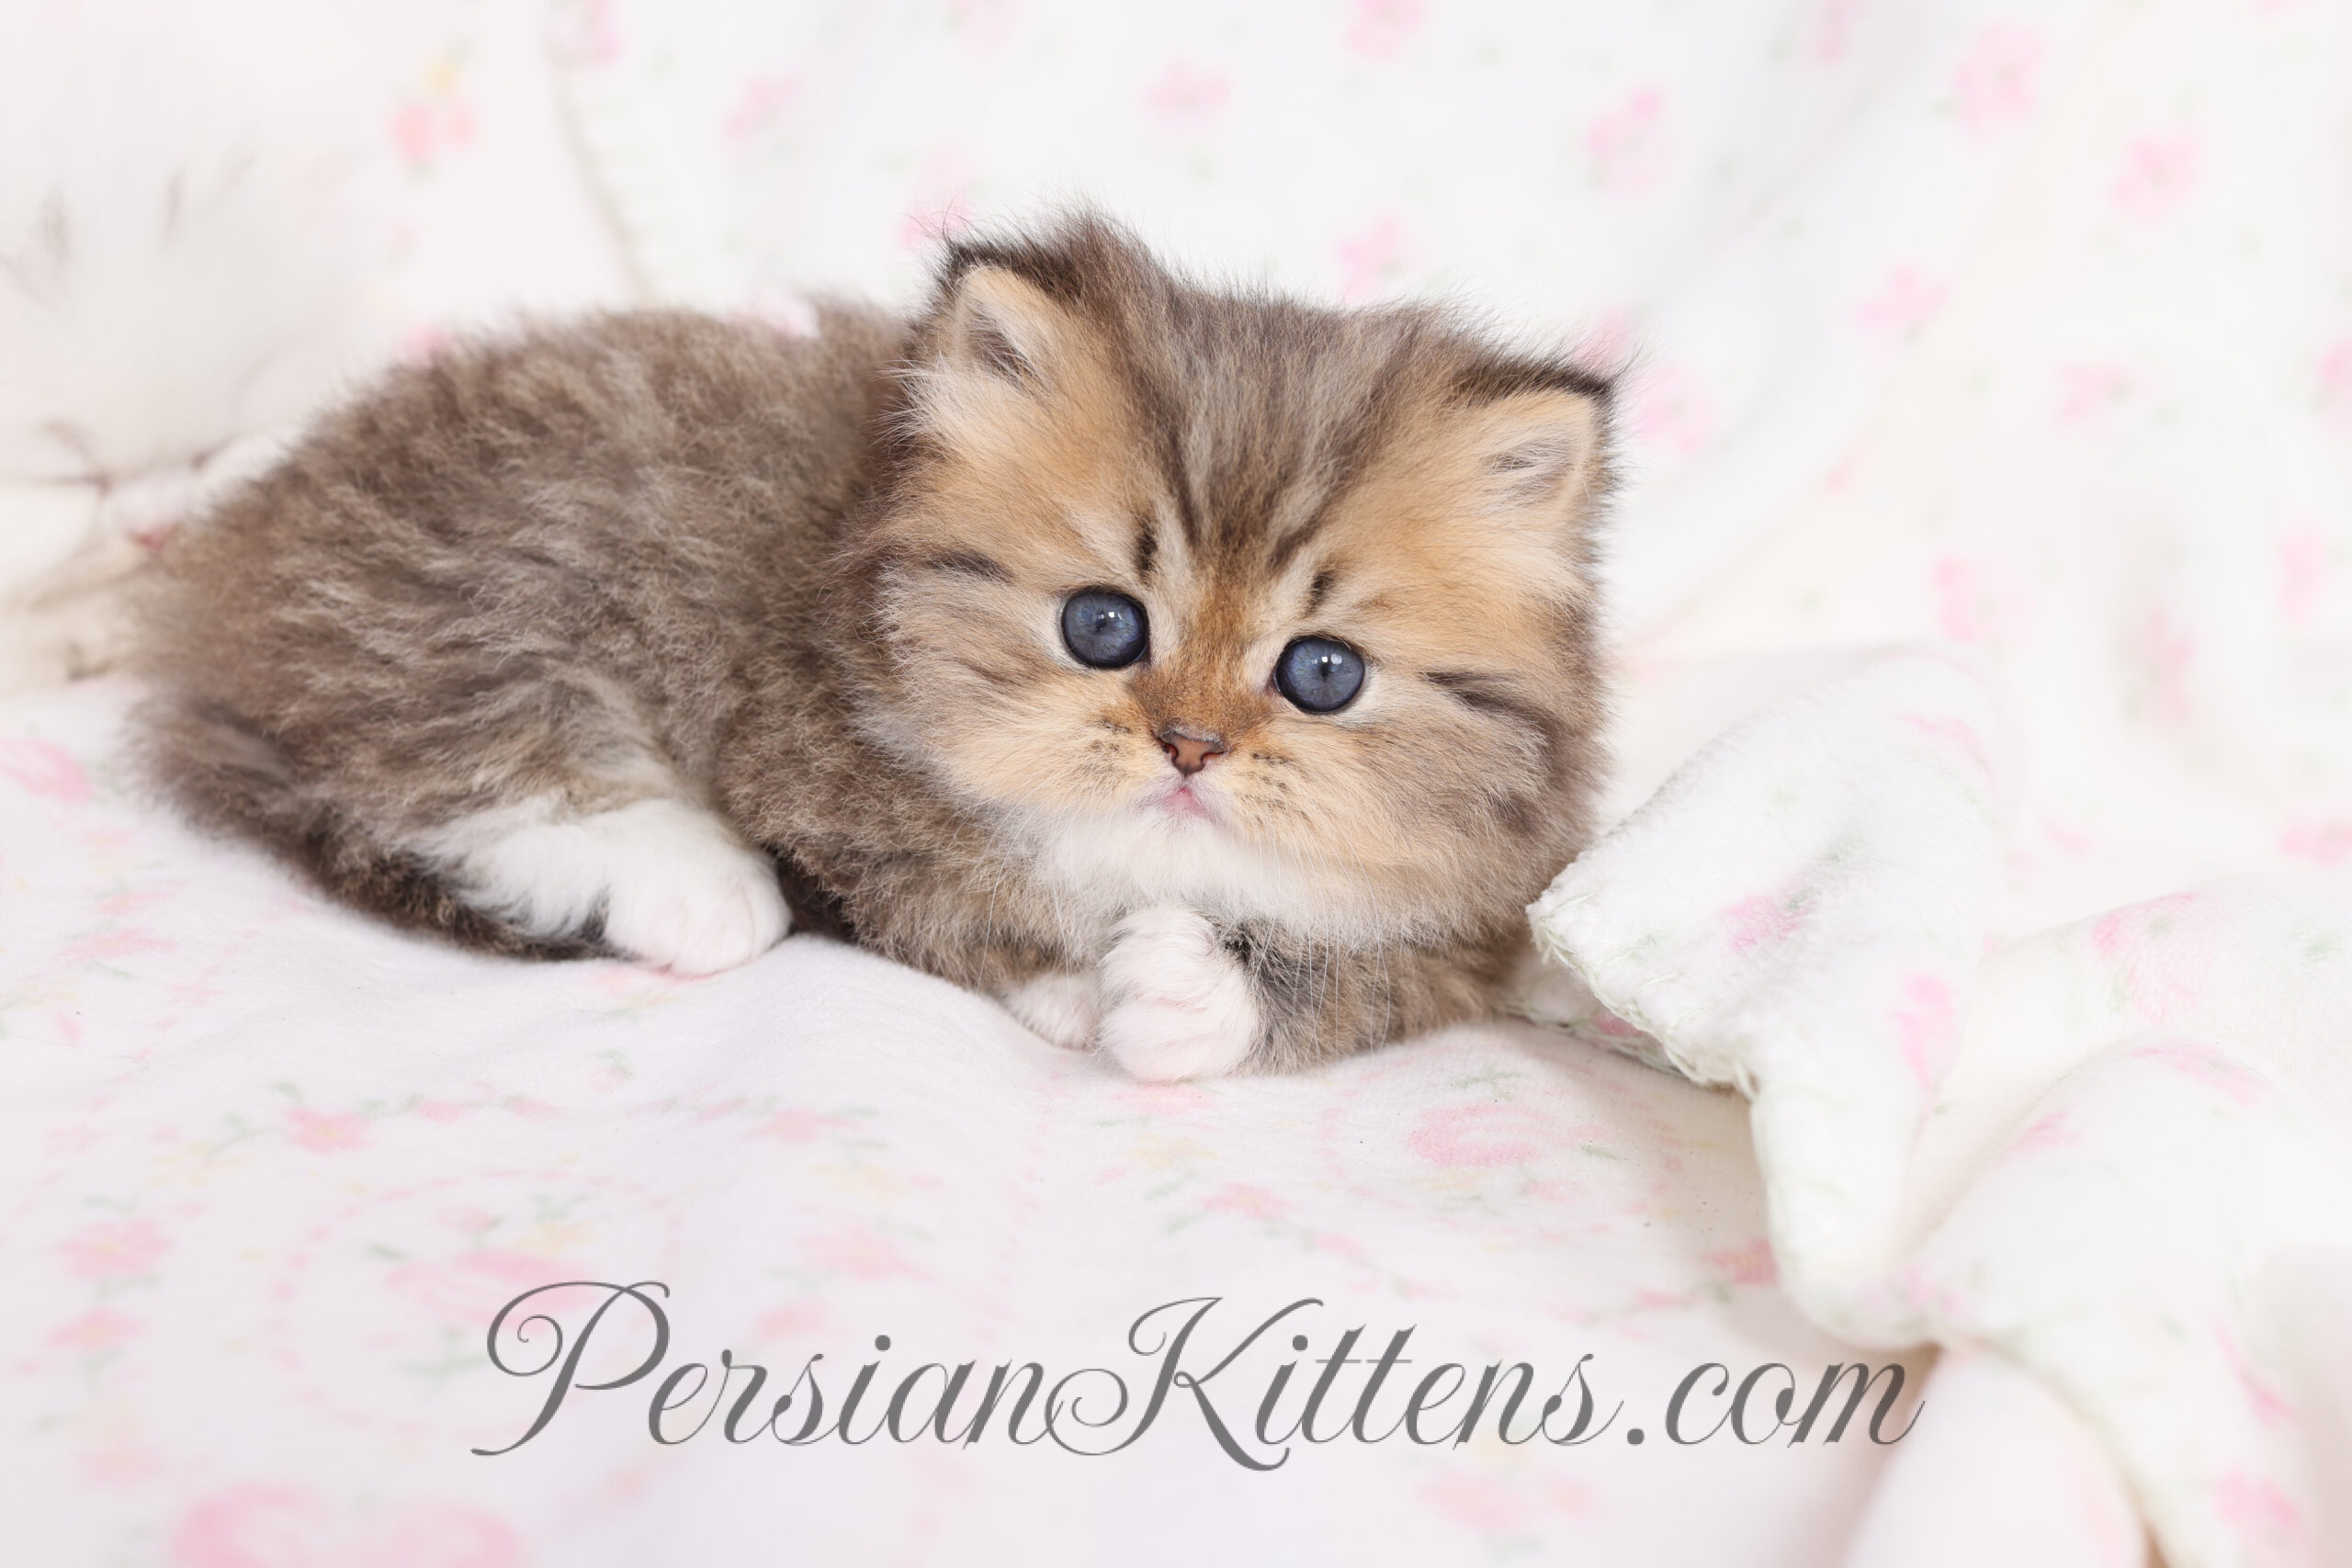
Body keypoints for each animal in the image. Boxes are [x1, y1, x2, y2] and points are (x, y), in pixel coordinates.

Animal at [133, 214, 1615, 1081]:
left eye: (1322, 673)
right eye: (1102, 625)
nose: (1189, 745)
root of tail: (228, 567)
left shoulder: (1482, 921)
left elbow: (1362, 980)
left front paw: (1187, 993)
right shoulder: (822, 800)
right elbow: (957, 917)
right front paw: (1089, 991)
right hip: (492, 584)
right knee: (449, 760)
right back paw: (696, 887)